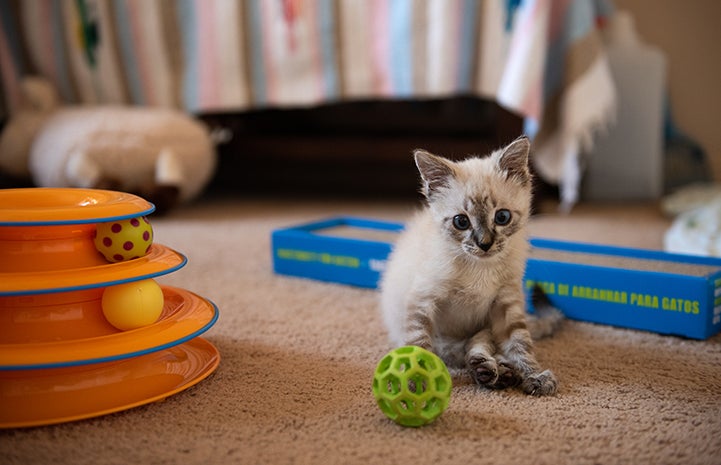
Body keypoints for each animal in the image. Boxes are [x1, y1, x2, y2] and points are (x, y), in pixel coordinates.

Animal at [380, 135, 560, 396]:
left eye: (502, 217)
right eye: (461, 222)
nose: (484, 244)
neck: (479, 268)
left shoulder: (506, 302)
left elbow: (520, 343)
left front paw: (534, 375)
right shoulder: (422, 300)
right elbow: (419, 344)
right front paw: (416, 380)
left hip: (484, 328)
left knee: (476, 347)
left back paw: (494, 371)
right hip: (439, 336)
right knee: (457, 353)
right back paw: (491, 372)